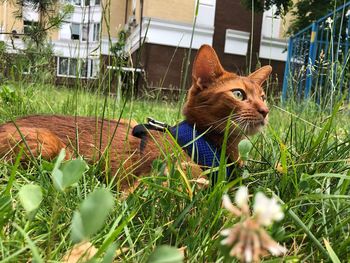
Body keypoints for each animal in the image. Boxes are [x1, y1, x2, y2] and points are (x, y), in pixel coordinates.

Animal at [0, 44, 270, 190]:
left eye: (263, 96)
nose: (265, 111)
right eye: (238, 94)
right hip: (49, 145)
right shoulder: (148, 183)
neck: (198, 142)